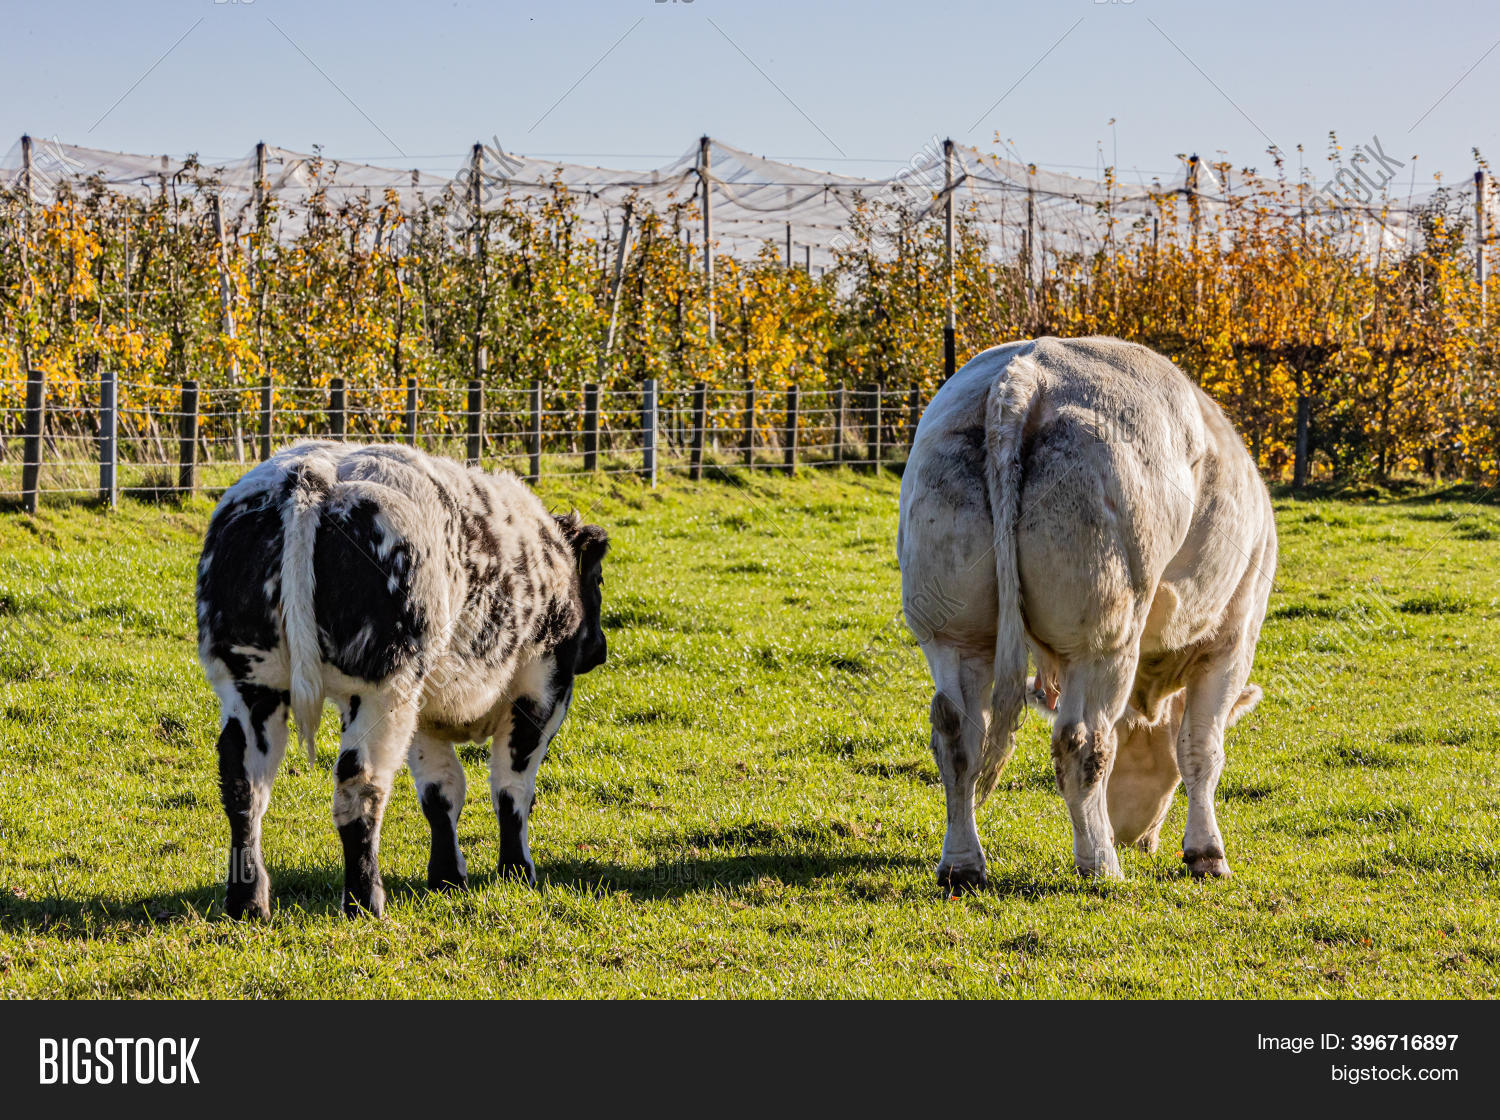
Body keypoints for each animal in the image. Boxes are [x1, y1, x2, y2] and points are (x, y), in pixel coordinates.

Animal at [196, 440, 609, 918]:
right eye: (598, 577)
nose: (600, 649)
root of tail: (312, 475)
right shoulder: (542, 689)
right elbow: (512, 788)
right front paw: (516, 871)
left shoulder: (424, 712)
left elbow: (441, 792)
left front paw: (448, 877)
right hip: (383, 688)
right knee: (360, 782)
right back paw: (364, 899)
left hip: (251, 683)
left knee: (243, 783)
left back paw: (248, 902)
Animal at [897, 336, 1276, 888]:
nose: (1135, 837)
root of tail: (1028, 370)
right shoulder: (1233, 638)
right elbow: (1201, 750)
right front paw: (1206, 853)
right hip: (1102, 635)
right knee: (1082, 743)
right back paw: (1100, 863)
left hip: (954, 631)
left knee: (957, 736)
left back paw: (963, 864)